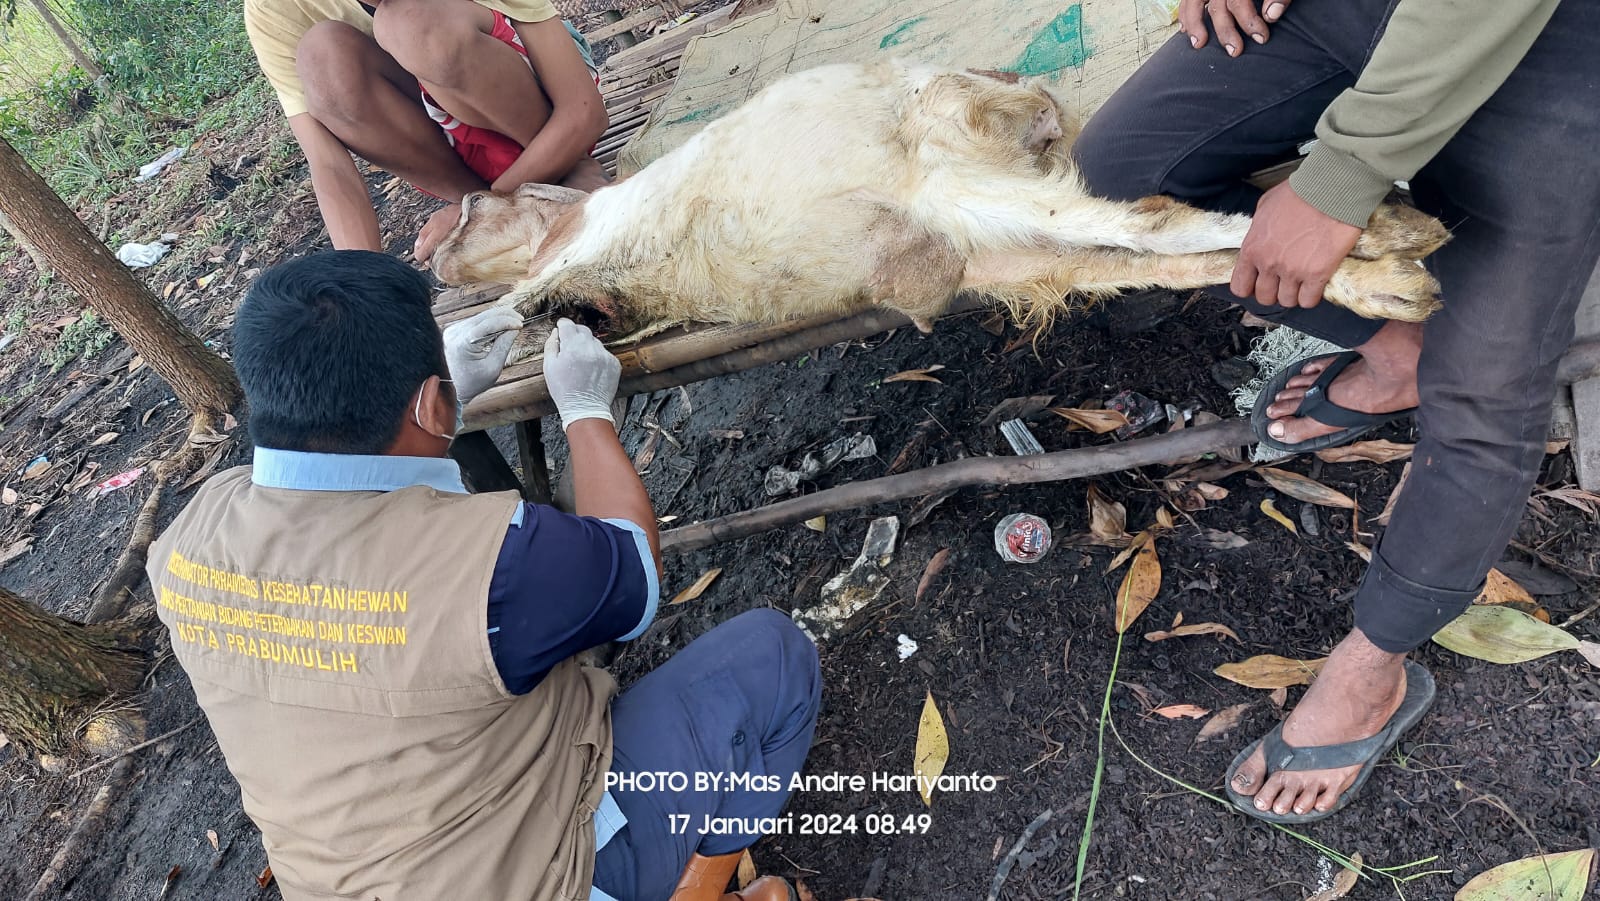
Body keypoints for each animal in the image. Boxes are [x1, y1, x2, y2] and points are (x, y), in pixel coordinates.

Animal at [428, 60, 1452, 340]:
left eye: (474, 211)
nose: (433, 252)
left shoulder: (582, 245)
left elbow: (506, 308)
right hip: (994, 246)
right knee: (1152, 253)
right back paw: (1394, 273)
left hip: (958, 177)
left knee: (1153, 225)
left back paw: (1391, 246)